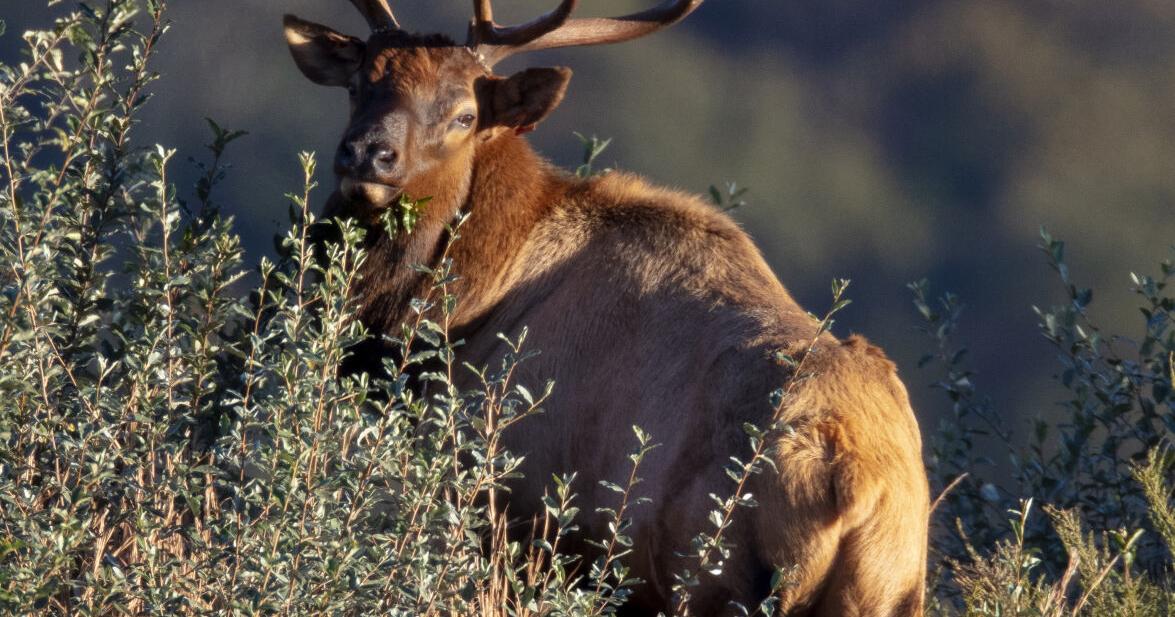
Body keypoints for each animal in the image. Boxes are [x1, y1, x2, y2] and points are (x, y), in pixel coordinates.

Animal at [282, 1, 929, 614]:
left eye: (465, 114)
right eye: (359, 83)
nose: (368, 155)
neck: (471, 309)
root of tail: (851, 480)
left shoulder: (516, 510)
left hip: (712, 575)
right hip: (889, 593)